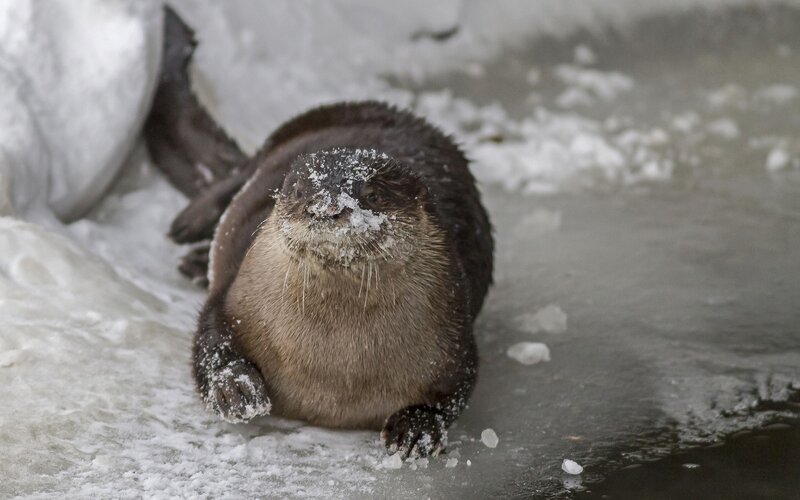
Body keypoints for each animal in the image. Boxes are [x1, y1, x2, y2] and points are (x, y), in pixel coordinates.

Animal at [144, 7, 493, 458]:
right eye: (298, 190)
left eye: (372, 193)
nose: (325, 206)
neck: (333, 376)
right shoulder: (233, 301)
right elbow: (209, 341)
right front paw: (237, 390)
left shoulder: (453, 341)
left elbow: (452, 395)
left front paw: (417, 428)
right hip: (291, 130)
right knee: (236, 174)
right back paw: (189, 229)